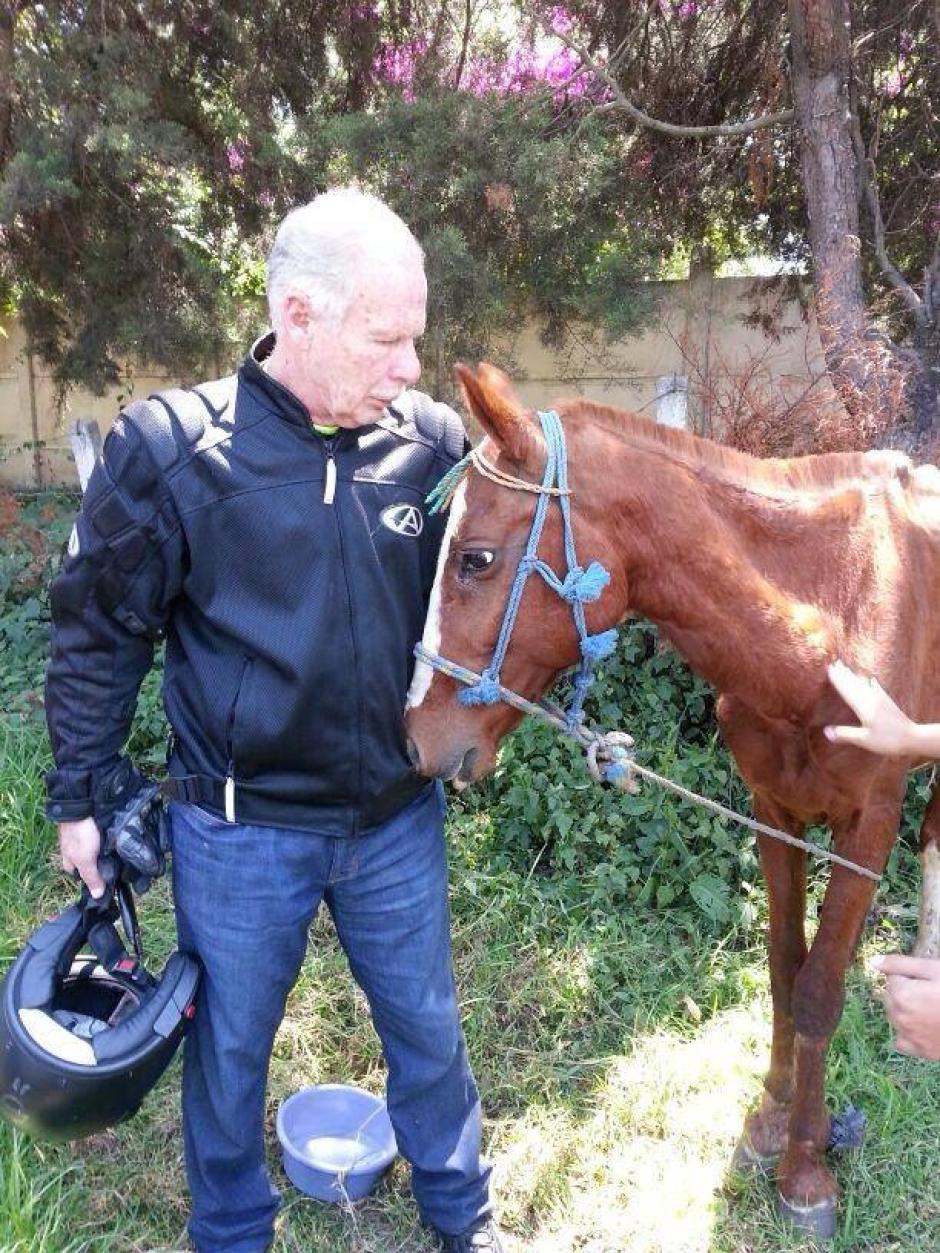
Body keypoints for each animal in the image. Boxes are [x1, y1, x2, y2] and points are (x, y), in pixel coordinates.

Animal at [408, 363, 940, 1242]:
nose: (414, 736)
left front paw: (805, 1171)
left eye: (476, 559)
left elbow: (821, 991)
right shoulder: (774, 812)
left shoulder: (867, 830)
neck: (832, 617)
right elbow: (785, 968)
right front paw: (770, 1124)